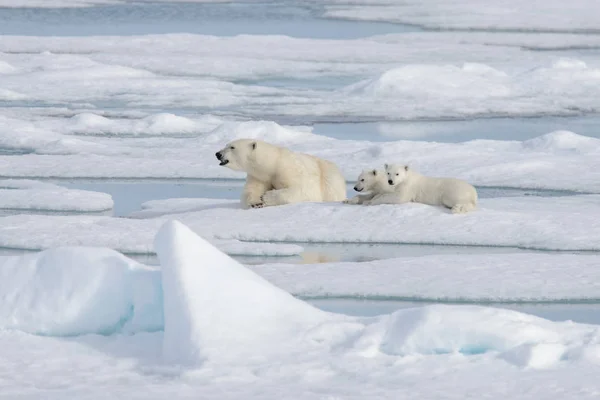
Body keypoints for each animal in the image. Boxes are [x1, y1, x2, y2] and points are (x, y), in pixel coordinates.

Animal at [216, 138, 346, 209]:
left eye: (232, 147)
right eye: (226, 145)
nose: (218, 154)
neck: (273, 163)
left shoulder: (289, 169)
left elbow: (301, 190)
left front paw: (267, 197)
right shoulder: (259, 176)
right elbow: (250, 190)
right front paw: (256, 202)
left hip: (330, 181)